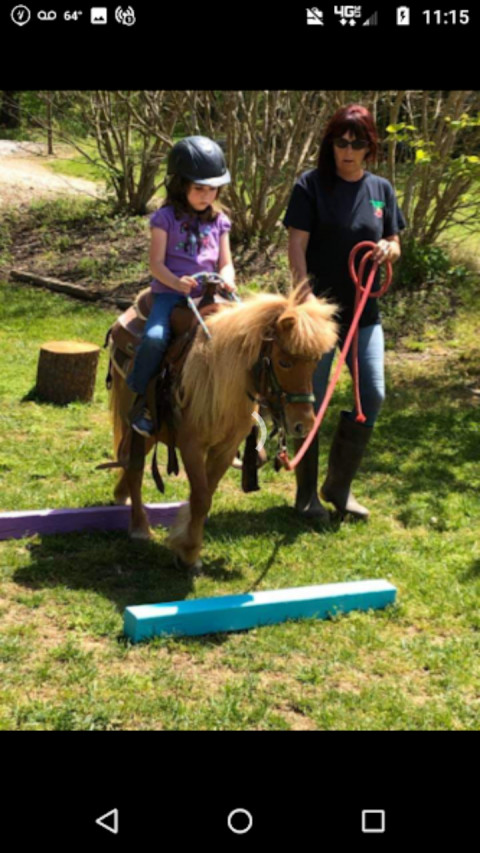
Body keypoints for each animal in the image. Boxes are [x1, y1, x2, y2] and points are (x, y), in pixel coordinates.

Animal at [108, 282, 338, 568]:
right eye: (285, 362)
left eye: (315, 362)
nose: (303, 425)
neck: (219, 377)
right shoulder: (191, 446)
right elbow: (201, 497)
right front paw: (189, 552)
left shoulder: (225, 450)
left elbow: (206, 495)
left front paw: (187, 548)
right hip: (137, 422)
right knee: (133, 463)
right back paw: (139, 526)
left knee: (130, 461)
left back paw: (122, 496)